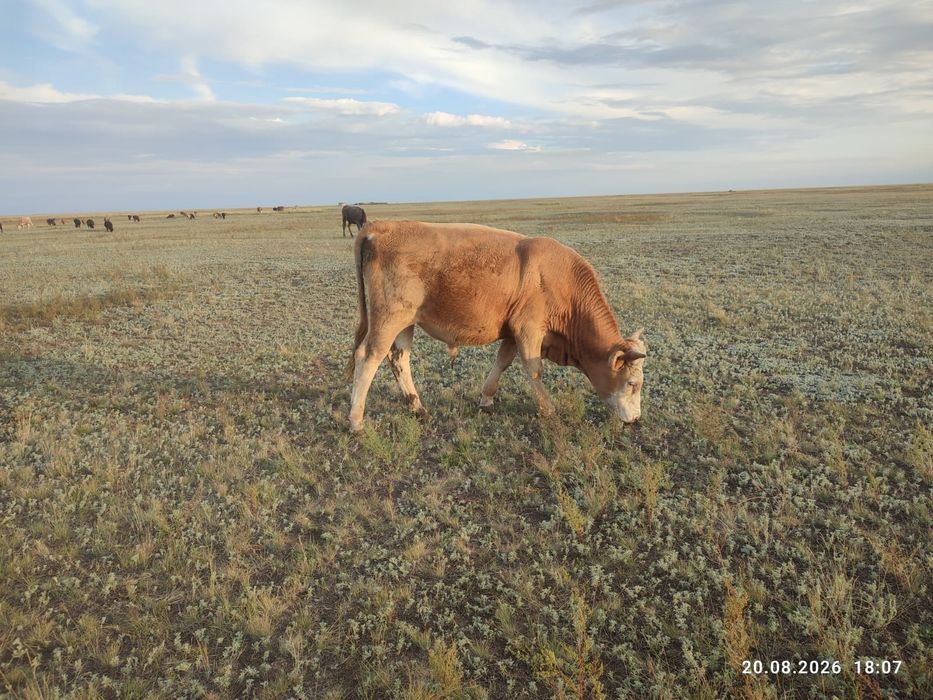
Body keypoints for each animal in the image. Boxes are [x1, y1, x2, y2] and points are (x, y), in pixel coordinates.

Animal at [346, 221, 647, 431]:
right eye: (632, 383)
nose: (636, 419)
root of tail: (381, 226)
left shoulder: (513, 333)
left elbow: (502, 362)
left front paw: (486, 399)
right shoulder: (529, 329)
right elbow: (534, 370)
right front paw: (549, 410)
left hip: (405, 324)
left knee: (399, 360)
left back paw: (417, 408)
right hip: (388, 320)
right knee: (368, 358)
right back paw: (356, 420)